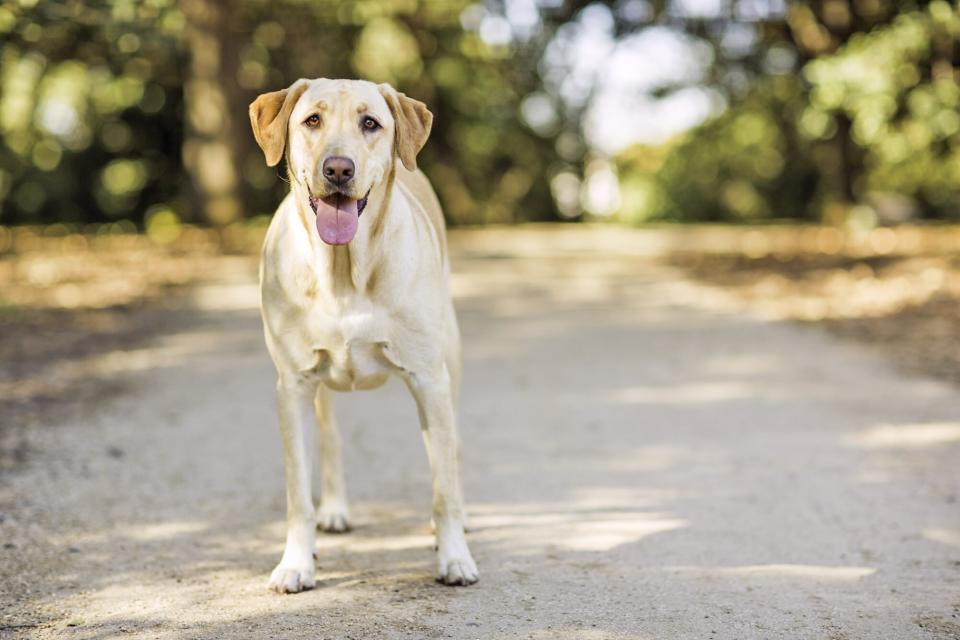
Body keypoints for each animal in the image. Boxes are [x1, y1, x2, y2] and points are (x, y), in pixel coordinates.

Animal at [244, 80, 476, 596]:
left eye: (371, 123)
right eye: (312, 120)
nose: (338, 168)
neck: (344, 271)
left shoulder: (429, 380)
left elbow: (444, 487)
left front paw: (454, 556)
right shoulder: (292, 386)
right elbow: (297, 493)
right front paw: (296, 563)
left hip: (449, 366)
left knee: (451, 450)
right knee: (330, 439)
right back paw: (333, 511)